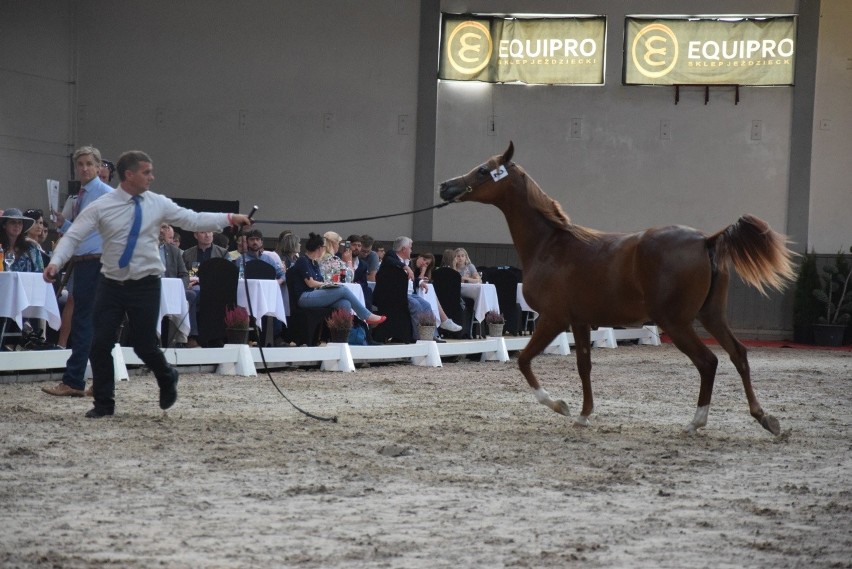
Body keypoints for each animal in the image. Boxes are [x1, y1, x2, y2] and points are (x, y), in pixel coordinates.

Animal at [440, 143, 800, 434]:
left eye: (484, 169)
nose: (446, 185)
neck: (550, 244)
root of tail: (706, 239)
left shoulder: (553, 319)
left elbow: (525, 361)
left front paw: (561, 406)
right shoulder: (580, 321)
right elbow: (583, 366)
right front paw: (583, 415)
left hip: (677, 322)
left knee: (708, 361)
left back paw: (696, 422)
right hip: (711, 316)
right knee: (739, 354)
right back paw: (764, 418)